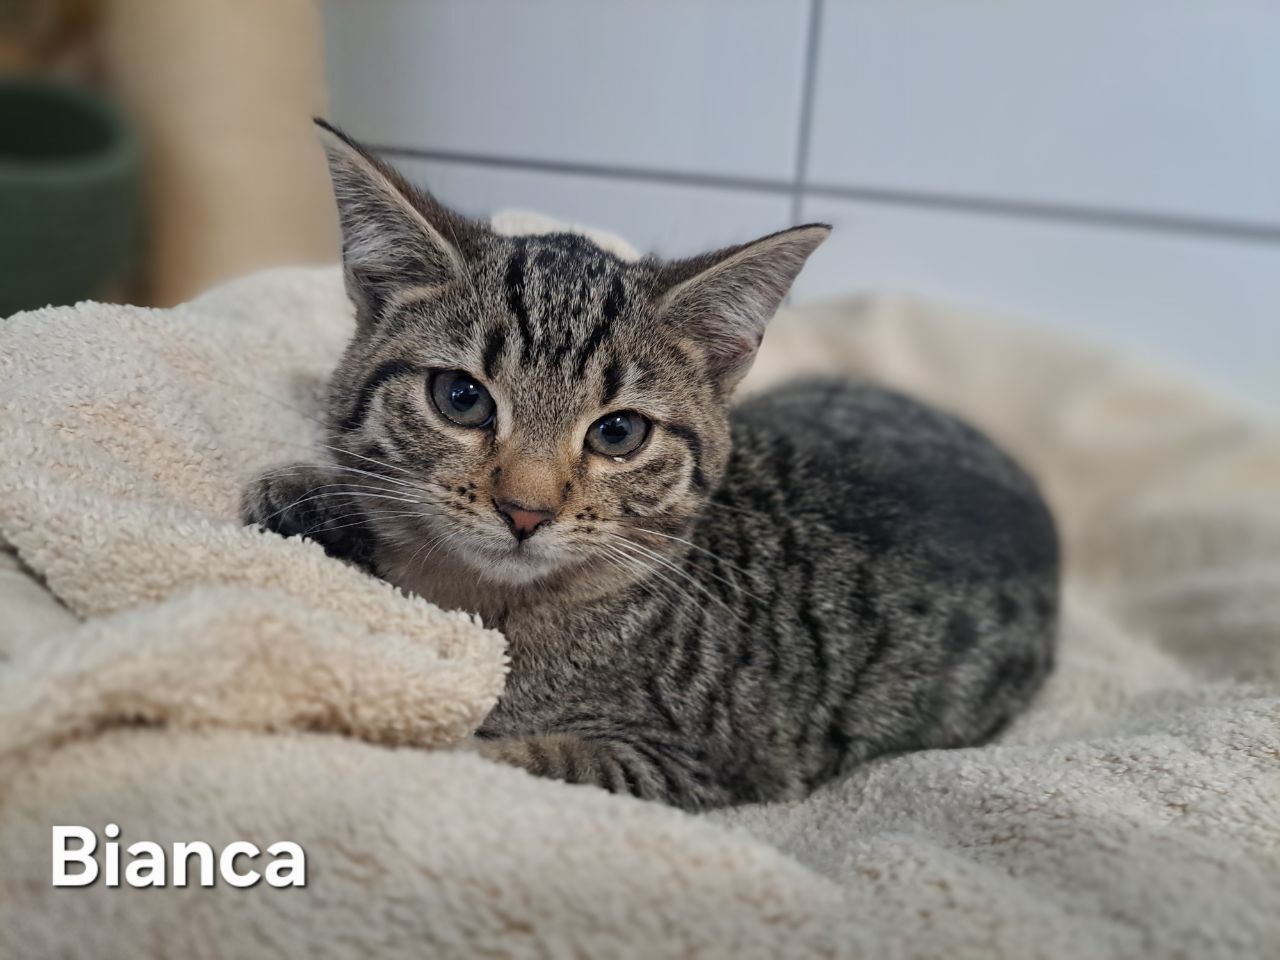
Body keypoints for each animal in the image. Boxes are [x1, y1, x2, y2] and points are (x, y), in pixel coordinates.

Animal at [242, 120, 1060, 810]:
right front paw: (311, 495)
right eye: (461, 398)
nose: (525, 510)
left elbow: (517, 759)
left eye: (619, 433)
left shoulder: (697, 765)